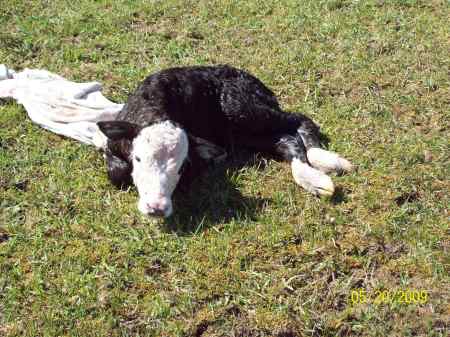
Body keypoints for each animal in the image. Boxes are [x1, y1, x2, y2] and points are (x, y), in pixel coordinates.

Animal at [95, 65, 354, 217]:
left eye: (181, 167)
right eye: (138, 158)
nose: (156, 208)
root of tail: (254, 81)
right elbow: (118, 174)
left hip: (244, 108)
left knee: (299, 120)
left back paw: (323, 165)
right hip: (243, 131)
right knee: (285, 139)